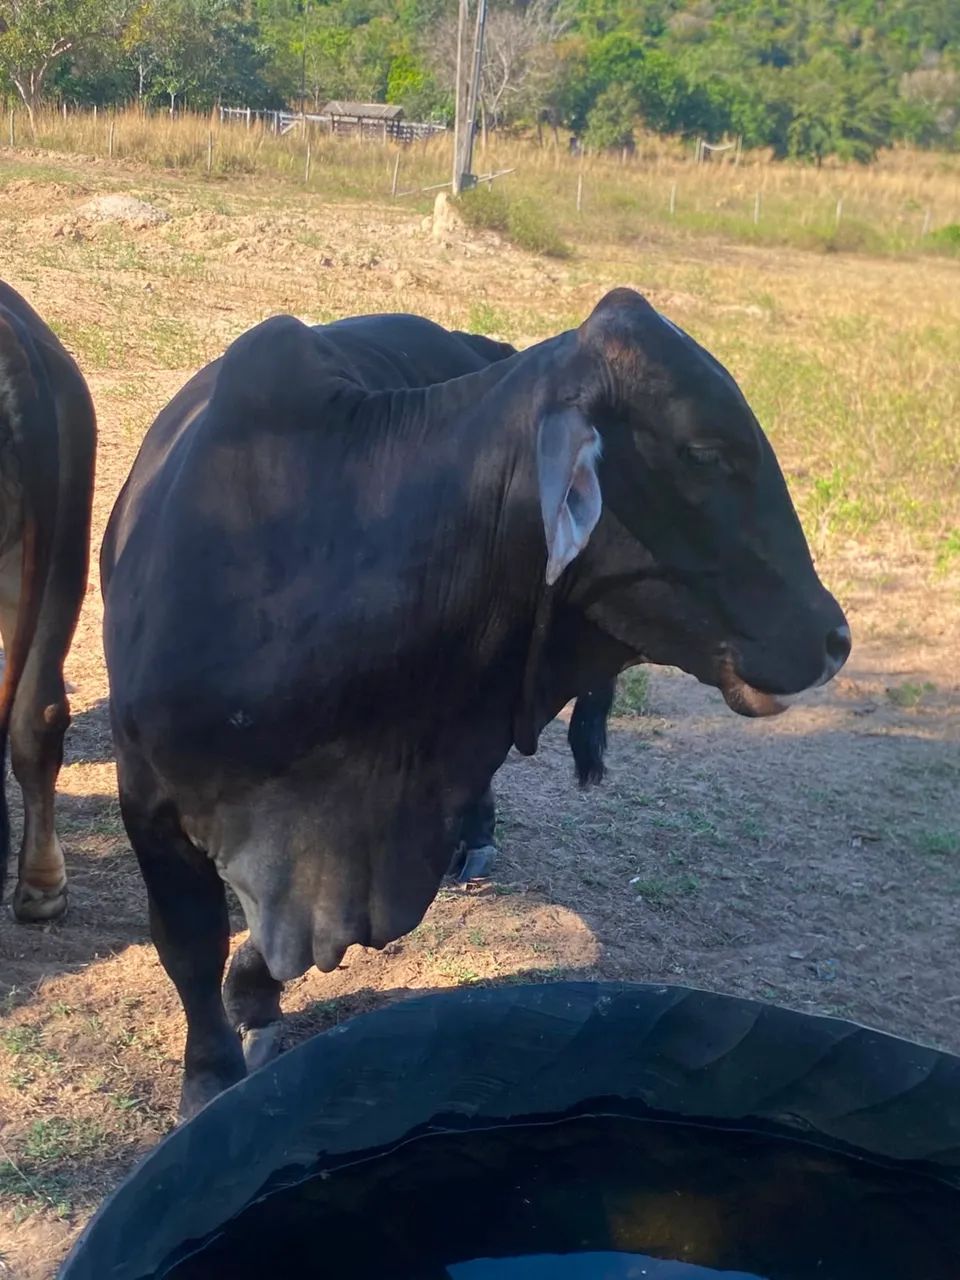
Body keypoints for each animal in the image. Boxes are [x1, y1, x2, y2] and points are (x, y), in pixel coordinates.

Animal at [101, 289, 850, 1117]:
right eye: (704, 451)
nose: (834, 637)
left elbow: (271, 950)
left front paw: (255, 1007)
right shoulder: (147, 794)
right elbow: (190, 945)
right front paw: (210, 1076)